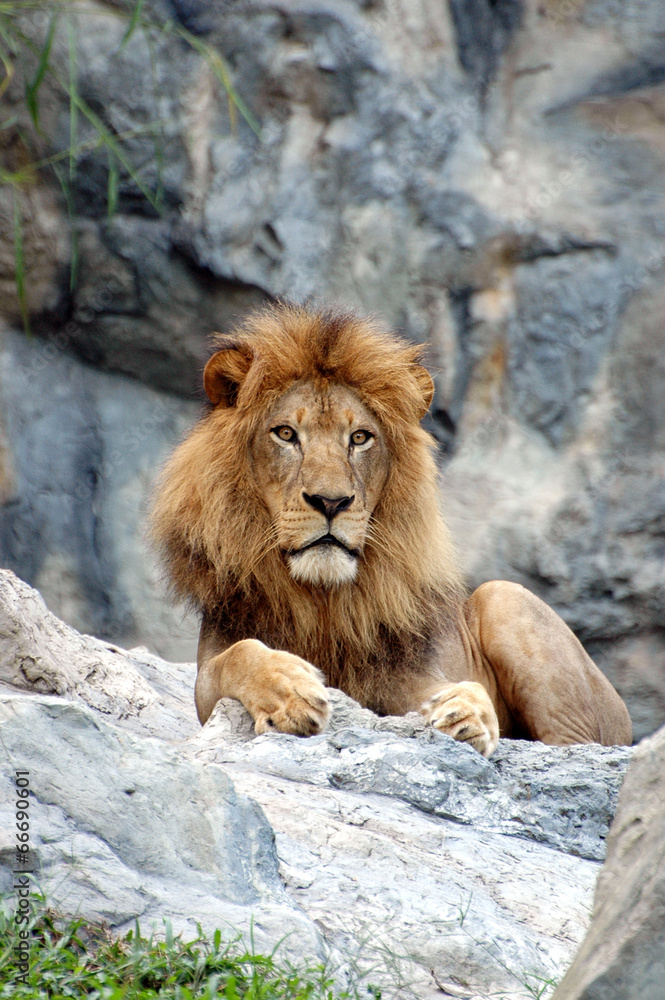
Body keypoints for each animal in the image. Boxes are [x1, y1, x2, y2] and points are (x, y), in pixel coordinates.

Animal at [150, 304, 632, 756]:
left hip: (507, 599)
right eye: (285, 434)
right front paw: (291, 692)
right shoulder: (208, 679)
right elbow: (238, 656)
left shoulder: (407, 677)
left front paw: (466, 713)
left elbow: (455, 687)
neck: (324, 602)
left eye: (360, 438)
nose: (331, 502)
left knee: (572, 744)